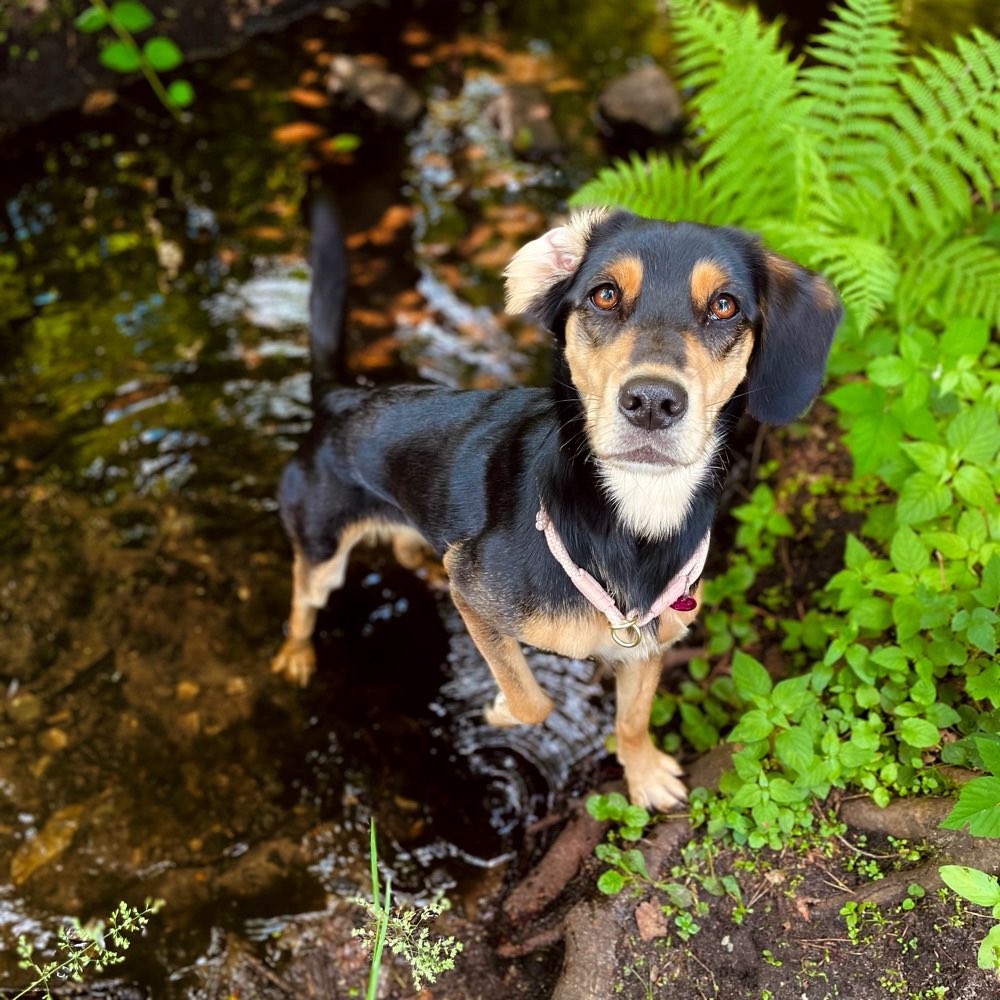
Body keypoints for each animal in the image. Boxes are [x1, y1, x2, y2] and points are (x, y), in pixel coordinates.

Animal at [270, 199, 840, 808]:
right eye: (605, 295)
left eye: (725, 305)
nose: (653, 402)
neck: (633, 517)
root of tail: (341, 397)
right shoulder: (476, 598)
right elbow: (531, 701)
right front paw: (500, 709)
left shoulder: (646, 642)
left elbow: (632, 719)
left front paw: (644, 775)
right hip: (322, 546)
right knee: (303, 599)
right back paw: (296, 655)